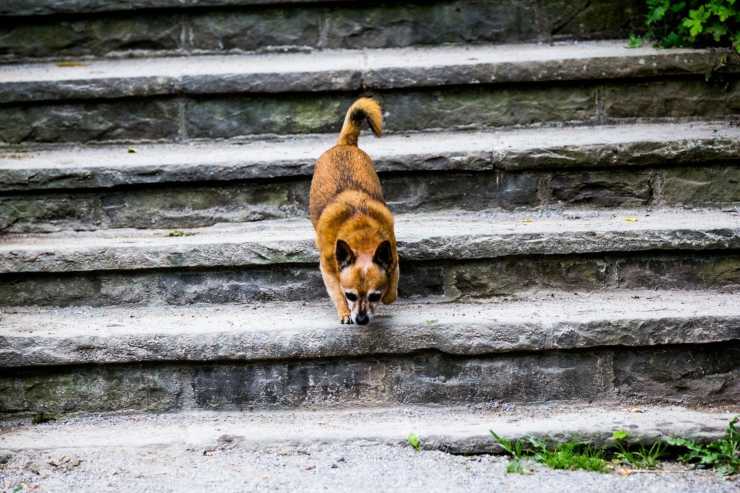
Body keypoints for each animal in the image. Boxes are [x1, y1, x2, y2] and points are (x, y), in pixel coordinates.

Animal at [308, 97, 398, 324]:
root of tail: (344, 144)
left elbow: (391, 289)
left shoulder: (392, 255)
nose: (362, 319)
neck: (361, 233)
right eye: (351, 295)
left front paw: (388, 294)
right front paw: (344, 312)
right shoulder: (328, 268)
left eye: (374, 296)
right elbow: (336, 291)